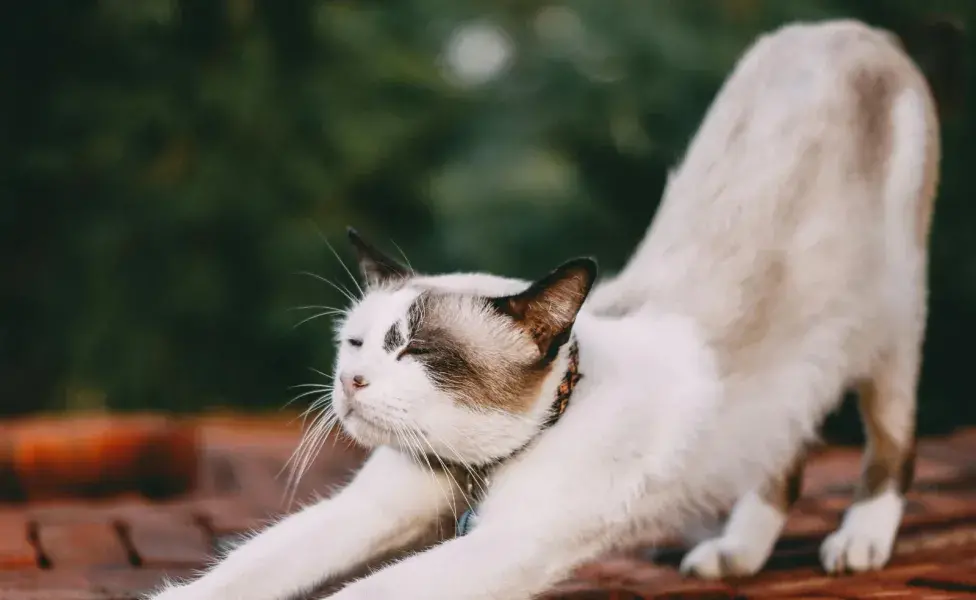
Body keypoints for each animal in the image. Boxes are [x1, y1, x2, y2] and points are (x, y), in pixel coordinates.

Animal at [149, 18, 940, 600]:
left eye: (416, 350)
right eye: (357, 347)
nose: (351, 384)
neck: (479, 467)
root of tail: (847, 28)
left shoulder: (506, 545)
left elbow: (360, 594)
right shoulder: (370, 511)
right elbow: (240, 570)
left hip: (887, 331)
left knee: (891, 443)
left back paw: (858, 541)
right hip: (802, 379)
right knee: (785, 450)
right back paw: (735, 554)